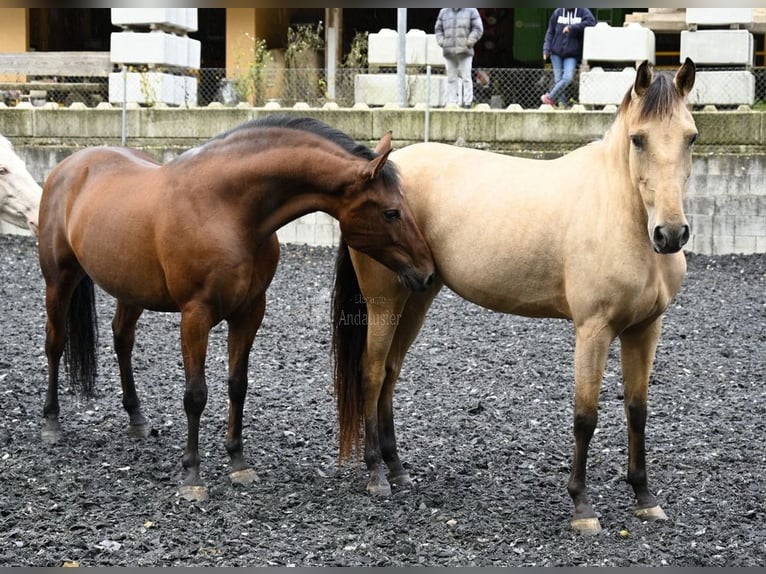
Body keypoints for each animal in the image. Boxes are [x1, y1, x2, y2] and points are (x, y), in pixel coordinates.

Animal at [39, 115, 436, 502]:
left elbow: (237, 385)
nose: (428, 272)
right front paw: (192, 476)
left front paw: (238, 462)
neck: (225, 209)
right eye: (391, 212)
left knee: (122, 340)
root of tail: (69, 166)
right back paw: (52, 422)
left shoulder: (249, 312)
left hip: (130, 290)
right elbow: (195, 394)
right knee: (55, 345)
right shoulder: (195, 315)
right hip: (59, 281)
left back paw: (136, 417)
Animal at [332, 59, 700, 536]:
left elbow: (637, 411)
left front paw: (645, 498)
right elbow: (586, 416)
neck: (620, 212)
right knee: (373, 373)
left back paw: (397, 470)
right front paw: (582, 507)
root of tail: (374, 174)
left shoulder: (645, 329)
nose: (670, 234)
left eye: (691, 136)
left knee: (391, 374)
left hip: (417, 297)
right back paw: (377, 474)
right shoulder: (594, 331)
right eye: (638, 139)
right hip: (384, 301)